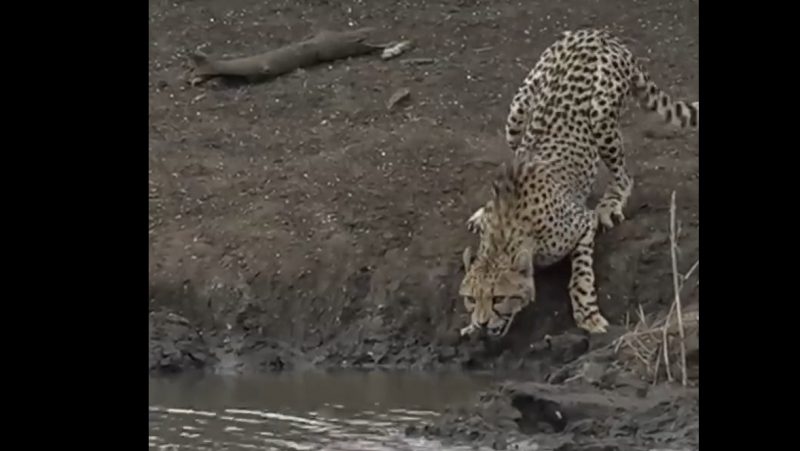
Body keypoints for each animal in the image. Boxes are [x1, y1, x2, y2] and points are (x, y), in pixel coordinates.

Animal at [458, 28, 698, 339]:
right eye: (470, 298)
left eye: (499, 298)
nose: (483, 322)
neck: (507, 231)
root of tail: (598, 33)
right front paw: (469, 325)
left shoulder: (583, 224)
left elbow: (581, 275)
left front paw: (587, 314)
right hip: (518, 111)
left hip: (600, 116)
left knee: (624, 174)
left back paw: (610, 203)